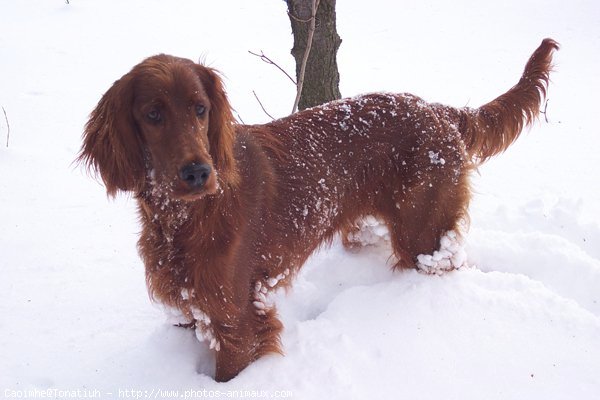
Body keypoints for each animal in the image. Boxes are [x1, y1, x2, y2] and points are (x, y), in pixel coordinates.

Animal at [78, 39, 556, 380]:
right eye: (153, 114)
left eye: (201, 108)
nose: (198, 173)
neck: (186, 218)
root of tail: (438, 110)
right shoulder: (189, 304)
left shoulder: (236, 318)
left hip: (424, 235)